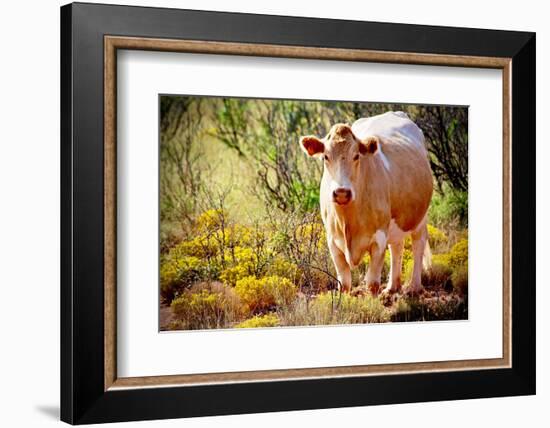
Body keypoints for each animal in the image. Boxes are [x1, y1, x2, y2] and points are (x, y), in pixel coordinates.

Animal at [302, 112, 436, 296]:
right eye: (325, 157)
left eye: (356, 156)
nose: (341, 192)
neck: (348, 221)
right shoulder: (332, 241)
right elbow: (344, 284)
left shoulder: (379, 238)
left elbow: (372, 283)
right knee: (397, 246)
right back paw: (392, 287)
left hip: (420, 216)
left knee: (418, 243)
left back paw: (414, 287)